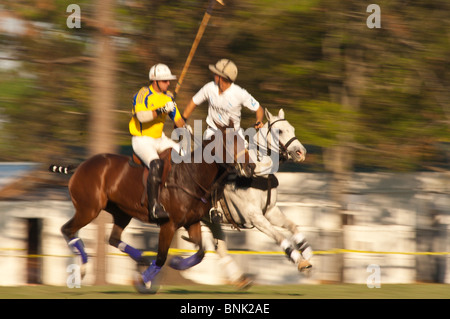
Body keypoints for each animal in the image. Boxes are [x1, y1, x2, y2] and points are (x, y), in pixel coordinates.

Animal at [51, 124, 255, 294]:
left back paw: (141, 259)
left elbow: (200, 252)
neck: (191, 177)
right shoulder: (168, 225)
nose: (250, 166)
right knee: (67, 229)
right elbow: (162, 257)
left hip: (121, 212)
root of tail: (80, 166)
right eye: (231, 142)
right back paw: (83, 267)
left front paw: (177, 263)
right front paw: (145, 280)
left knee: (113, 238)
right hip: (89, 209)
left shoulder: (192, 223)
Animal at [202, 109, 312, 288]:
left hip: (210, 220)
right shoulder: (255, 217)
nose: (301, 152)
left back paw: (240, 279)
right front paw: (300, 261)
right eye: (279, 131)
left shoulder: (270, 211)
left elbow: (293, 226)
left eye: (293, 129)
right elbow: (280, 237)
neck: (260, 173)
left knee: (221, 247)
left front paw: (307, 253)